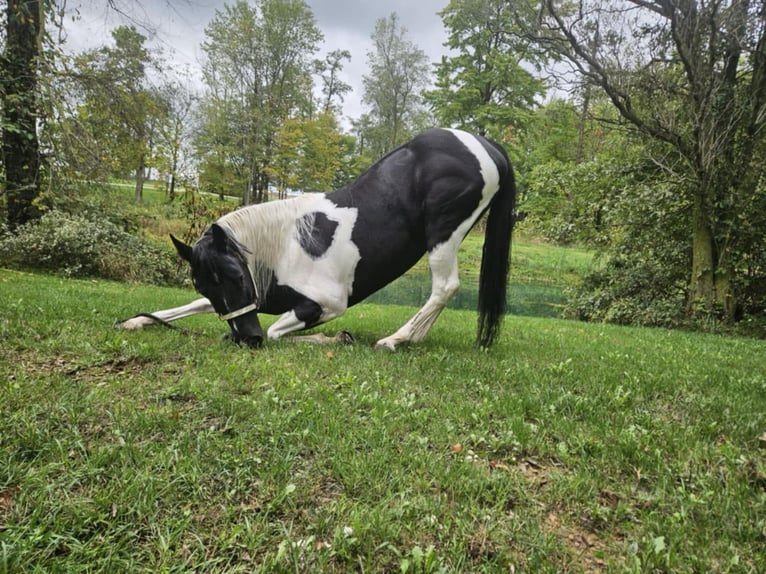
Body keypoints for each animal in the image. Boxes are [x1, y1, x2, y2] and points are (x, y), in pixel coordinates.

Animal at [120, 128, 516, 351]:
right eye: (205, 284)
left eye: (234, 275)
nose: (248, 339)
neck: (282, 250)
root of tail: (485, 143)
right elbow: (191, 306)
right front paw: (137, 321)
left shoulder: (327, 304)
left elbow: (277, 331)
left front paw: (333, 338)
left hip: (444, 237)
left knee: (444, 287)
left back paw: (395, 340)